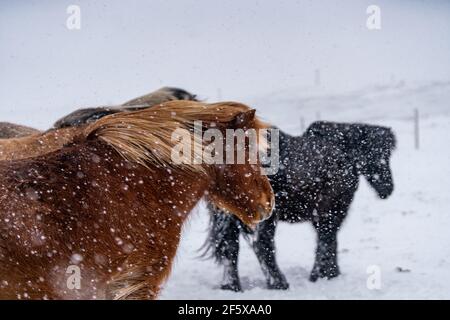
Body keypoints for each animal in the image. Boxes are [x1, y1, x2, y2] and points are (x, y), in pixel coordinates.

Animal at [204, 121, 398, 292]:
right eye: (379, 154)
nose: (388, 188)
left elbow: (328, 241)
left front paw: (329, 273)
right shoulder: (333, 211)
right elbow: (326, 241)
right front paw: (321, 275)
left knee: (231, 247)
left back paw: (232, 286)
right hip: (265, 217)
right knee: (262, 244)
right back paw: (278, 283)